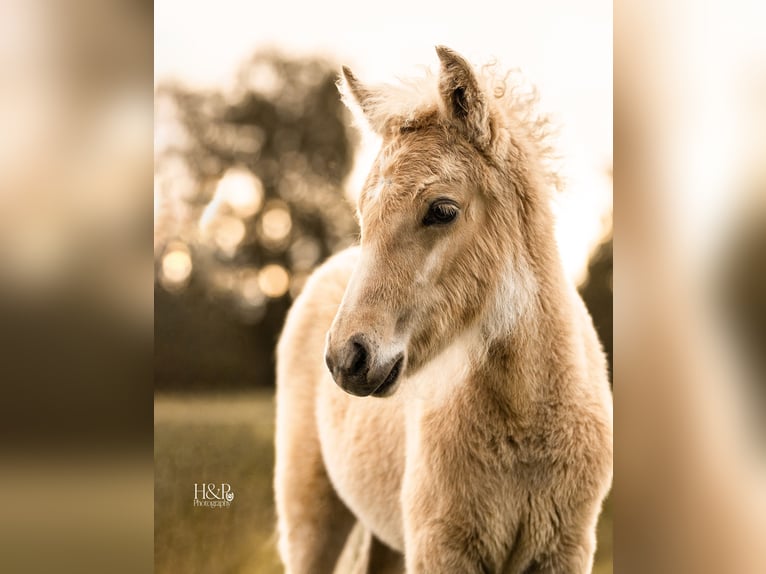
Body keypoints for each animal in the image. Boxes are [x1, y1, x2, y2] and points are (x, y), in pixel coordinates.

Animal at [272, 46, 616, 574]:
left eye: (442, 210)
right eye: (363, 213)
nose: (346, 359)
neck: (522, 425)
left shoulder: (566, 550)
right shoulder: (441, 549)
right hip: (311, 520)